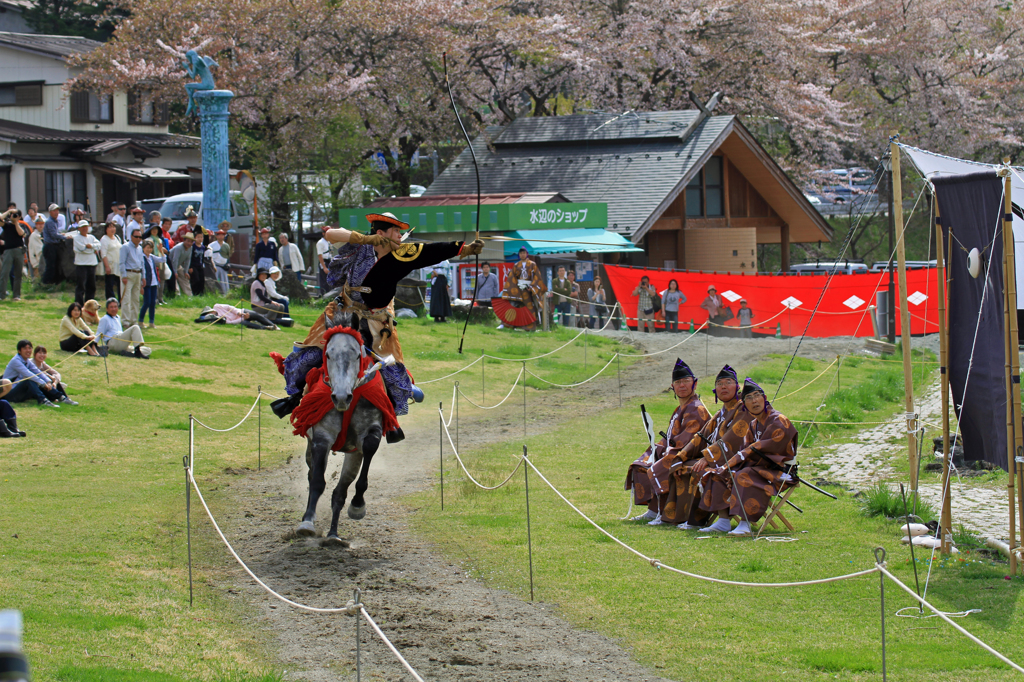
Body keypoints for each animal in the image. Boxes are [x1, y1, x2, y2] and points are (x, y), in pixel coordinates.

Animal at [299, 315, 387, 544]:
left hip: (353, 456)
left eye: (356, 354)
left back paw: (332, 535)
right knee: (312, 475)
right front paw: (307, 522)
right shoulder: (322, 436)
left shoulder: (370, 431)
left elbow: (370, 446)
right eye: (328, 354)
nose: (340, 397)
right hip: (311, 448)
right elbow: (317, 481)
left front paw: (357, 506)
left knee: (340, 492)